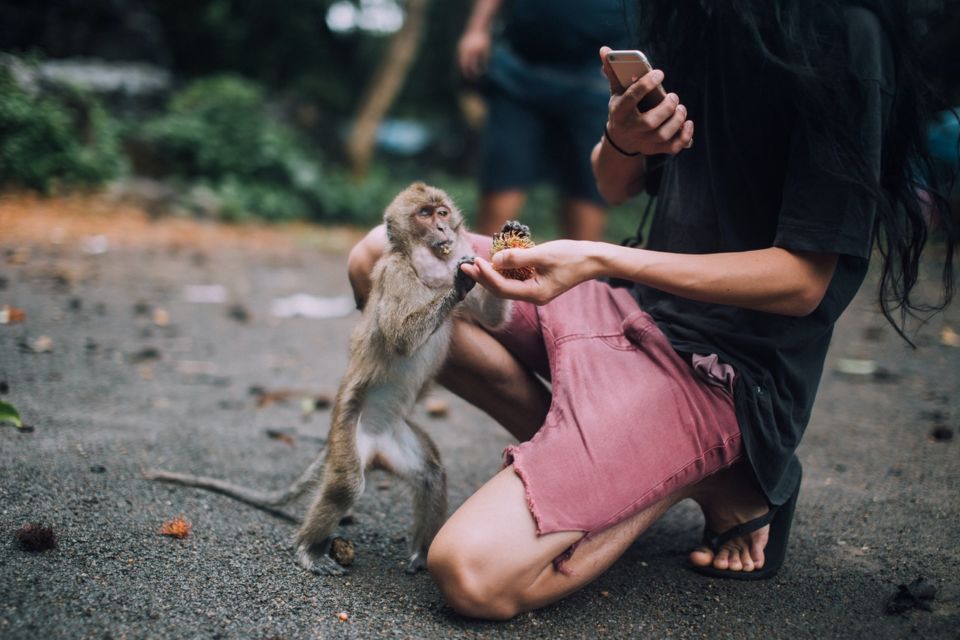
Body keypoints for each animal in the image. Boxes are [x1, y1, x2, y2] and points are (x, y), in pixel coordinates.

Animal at [144, 182, 516, 576]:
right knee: (346, 485)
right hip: (346, 431)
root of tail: (374, 441)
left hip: (395, 438)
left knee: (430, 474)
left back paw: (419, 553)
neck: (426, 266)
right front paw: (459, 281)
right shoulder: (395, 273)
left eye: (442, 212)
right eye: (425, 215)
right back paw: (309, 548)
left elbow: (492, 319)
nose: (443, 228)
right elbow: (400, 337)